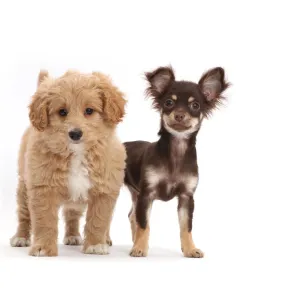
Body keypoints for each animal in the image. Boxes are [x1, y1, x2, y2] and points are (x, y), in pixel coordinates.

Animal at [10, 69, 125, 255]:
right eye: (62, 112)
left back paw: (79, 236)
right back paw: (21, 237)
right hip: (24, 186)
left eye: (89, 110)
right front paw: (43, 247)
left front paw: (95, 245)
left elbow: (99, 220)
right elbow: (44, 221)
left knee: (74, 214)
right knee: (24, 214)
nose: (75, 133)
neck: (77, 154)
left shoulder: (105, 190)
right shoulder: (43, 188)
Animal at [124, 65, 230, 258]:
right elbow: (145, 224)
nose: (179, 115)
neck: (176, 152)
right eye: (168, 103)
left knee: (132, 215)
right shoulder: (147, 194)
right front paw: (140, 248)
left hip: (135, 194)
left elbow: (186, 226)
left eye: (195, 105)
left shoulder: (186, 197)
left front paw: (190, 249)